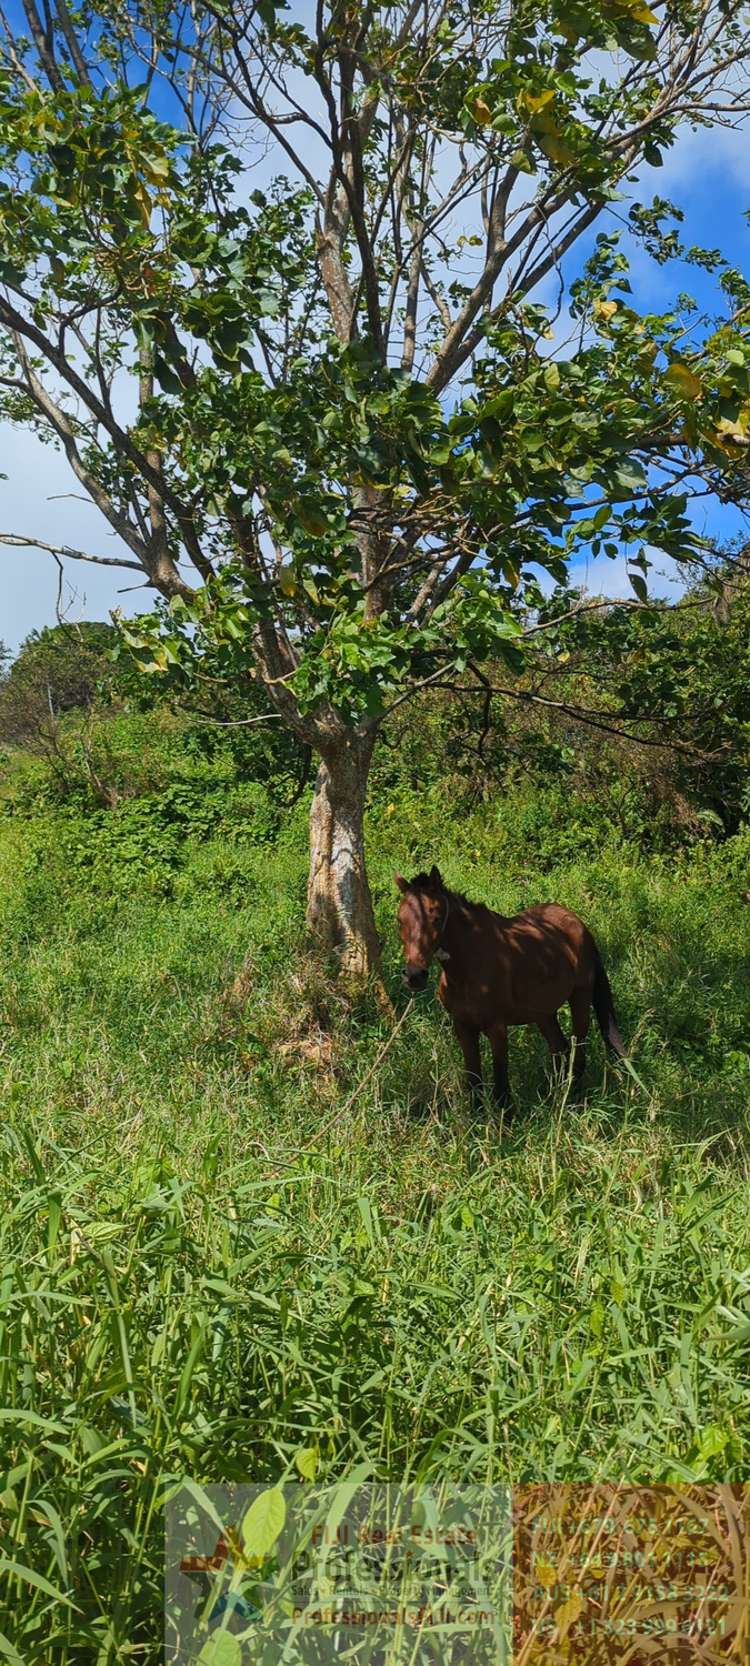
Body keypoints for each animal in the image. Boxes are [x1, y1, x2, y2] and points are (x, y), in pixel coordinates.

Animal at [395, 866, 623, 1112]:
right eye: (400, 920)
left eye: (436, 918)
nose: (414, 976)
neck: (469, 965)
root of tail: (578, 924)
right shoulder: (463, 1027)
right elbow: (473, 1080)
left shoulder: (497, 1028)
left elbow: (501, 1084)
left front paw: (506, 1117)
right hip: (543, 1014)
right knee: (559, 1049)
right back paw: (555, 1096)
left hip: (579, 999)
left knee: (578, 1053)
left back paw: (572, 1099)